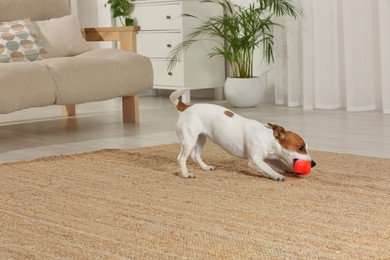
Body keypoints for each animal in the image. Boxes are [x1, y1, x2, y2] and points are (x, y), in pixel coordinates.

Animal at [169, 89, 316, 181]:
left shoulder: (271, 157)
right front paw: (275, 175)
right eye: (301, 147)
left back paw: (205, 167)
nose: (313, 163)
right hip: (190, 140)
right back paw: (186, 174)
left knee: (193, 156)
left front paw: (287, 169)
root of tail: (185, 107)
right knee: (182, 158)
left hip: (200, 139)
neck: (267, 138)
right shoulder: (255, 160)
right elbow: (267, 167)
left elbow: (278, 163)